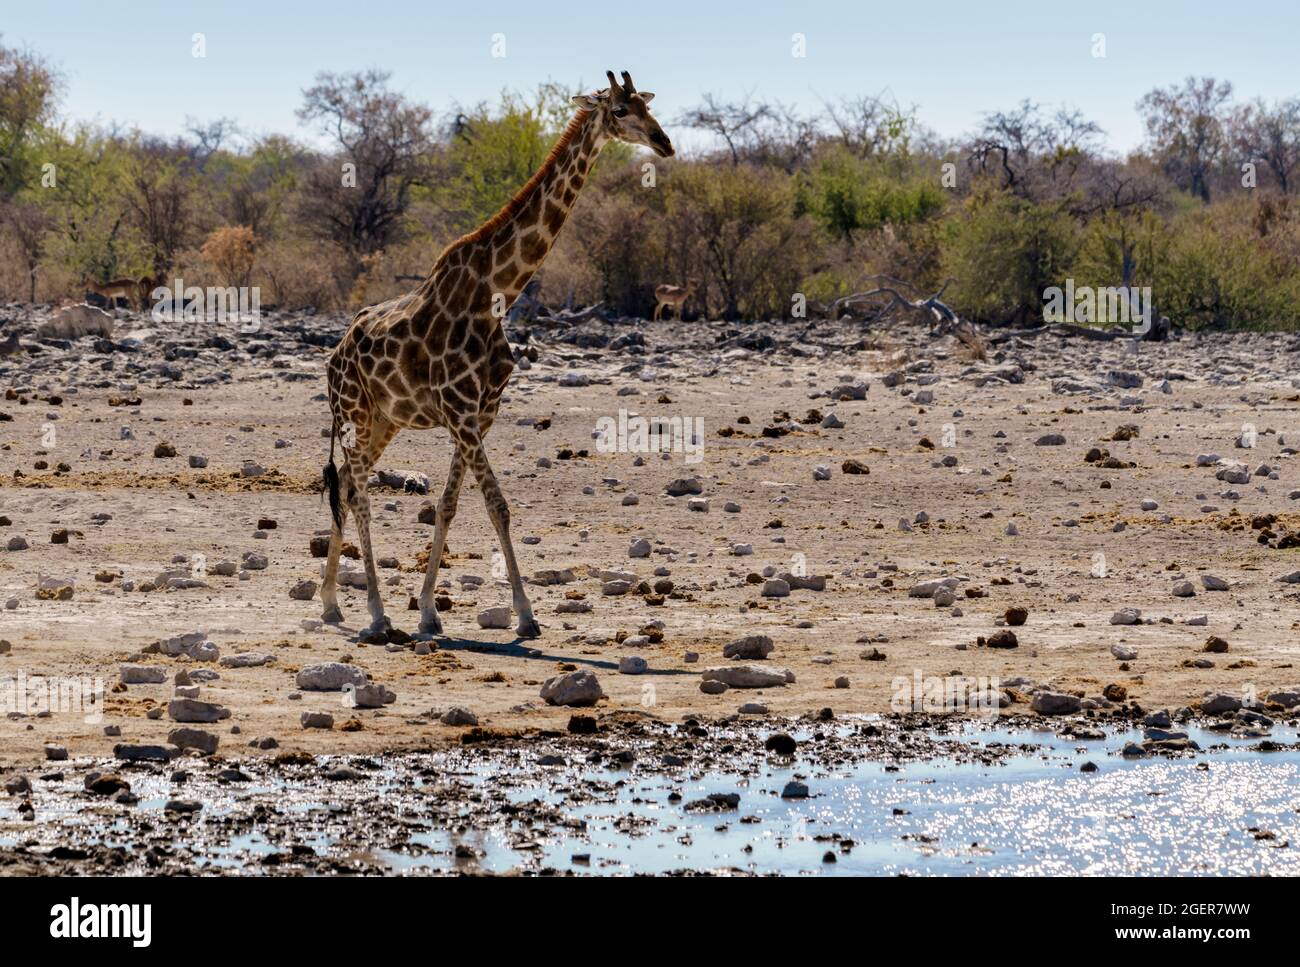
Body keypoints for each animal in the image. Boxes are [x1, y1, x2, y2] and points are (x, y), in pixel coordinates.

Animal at [319, 69, 676, 642]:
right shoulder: (463, 414)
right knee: (356, 493)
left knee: (348, 485)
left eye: (646, 104)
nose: (664, 143)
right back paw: (374, 613)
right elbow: (497, 505)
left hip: (383, 420)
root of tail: (333, 358)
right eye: (620, 111)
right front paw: (526, 616)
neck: (498, 293)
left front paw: (429, 611)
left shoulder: (479, 415)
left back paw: (331, 603)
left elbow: (450, 504)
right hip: (353, 413)